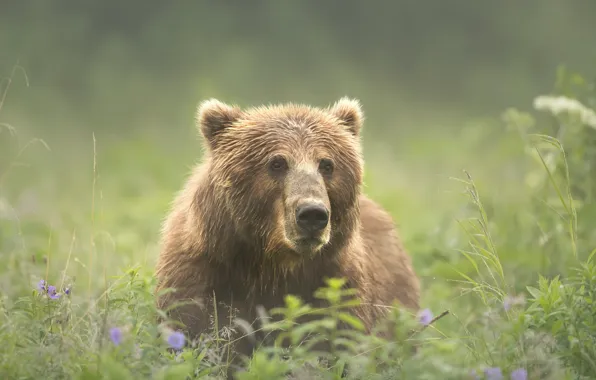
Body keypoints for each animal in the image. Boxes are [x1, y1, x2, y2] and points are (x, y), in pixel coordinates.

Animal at [156, 98, 422, 374]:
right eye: (277, 163)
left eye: (327, 164)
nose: (312, 214)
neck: (272, 265)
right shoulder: (205, 277)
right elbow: (201, 333)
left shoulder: (333, 287)